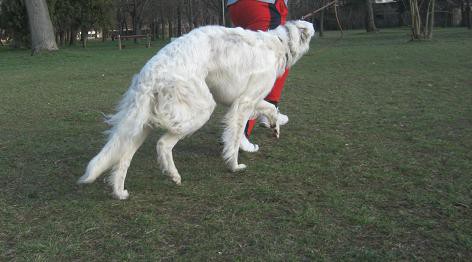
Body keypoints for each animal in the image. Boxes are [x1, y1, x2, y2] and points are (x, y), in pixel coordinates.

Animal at [77, 20, 316, 200]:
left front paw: (275, 126)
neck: (279, 43)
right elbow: (235, 137)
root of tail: (149, 74)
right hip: (201, 109)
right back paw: (173, 175)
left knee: (123, 158)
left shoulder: (247, 100)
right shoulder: (243, 102)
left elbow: (268, 109)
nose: (313, 28)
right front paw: (234, 165)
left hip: (141, 124)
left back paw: (120, 192)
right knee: (163, 143)